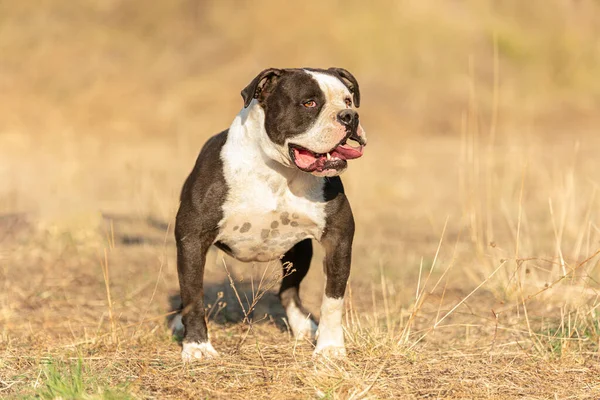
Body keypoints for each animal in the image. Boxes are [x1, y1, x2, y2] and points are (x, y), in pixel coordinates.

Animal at [173, 67, 366, 360]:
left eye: (348, 100)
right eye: (309, 103)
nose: (350, 116)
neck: (279, 171)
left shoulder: (338, 239)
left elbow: (333, 299)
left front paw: (330, 348)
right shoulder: (192, 239)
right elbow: (193, 295)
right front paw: (197, 347)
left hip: (300, 251)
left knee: (288, 290)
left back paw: (303, 326)